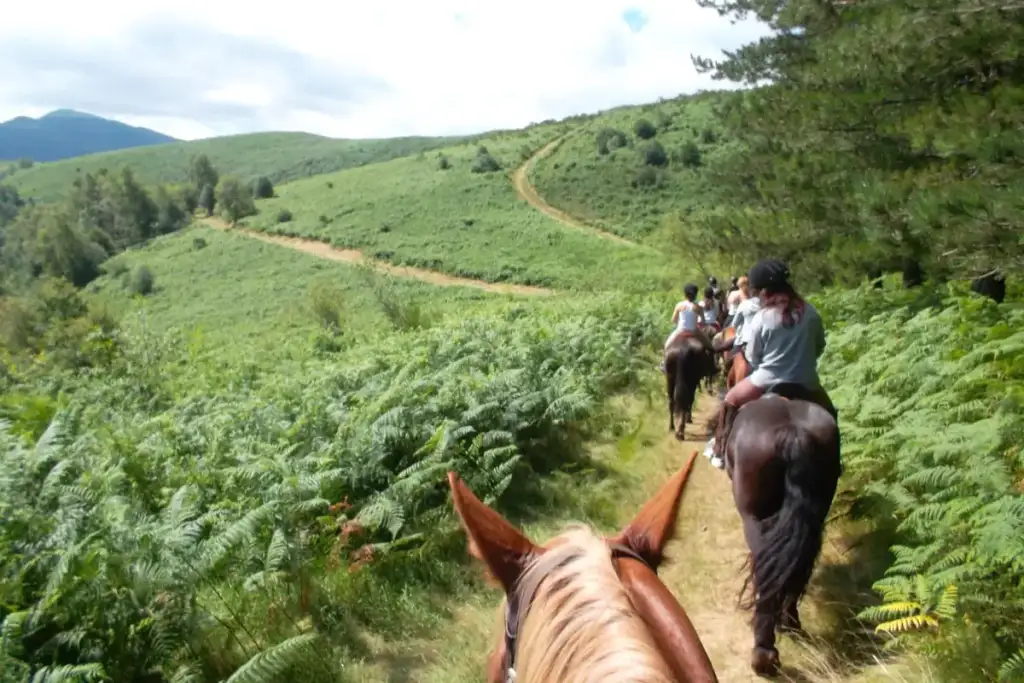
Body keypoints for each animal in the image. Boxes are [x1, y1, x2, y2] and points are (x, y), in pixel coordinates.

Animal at [720, 387, 839, 675]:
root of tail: (794, 434)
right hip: (813, 518)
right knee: (797, 567)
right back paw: (789, 624)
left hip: (756, 520)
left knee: (766, 571)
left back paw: (763, 655)